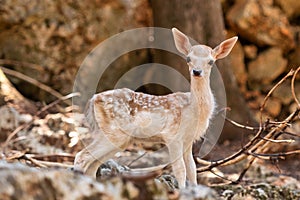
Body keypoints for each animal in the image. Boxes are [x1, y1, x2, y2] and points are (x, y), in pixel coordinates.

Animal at [74, 27, 237, 188]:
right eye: (188, 59)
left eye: (211, 61)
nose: (196, 72)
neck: (193, 110)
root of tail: (93, 100)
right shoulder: (172, 136)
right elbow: (180, 170)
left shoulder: (189, 139)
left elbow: (192, 169)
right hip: (114, 132)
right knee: (81, 156)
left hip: (119, 139)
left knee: (93, 165)